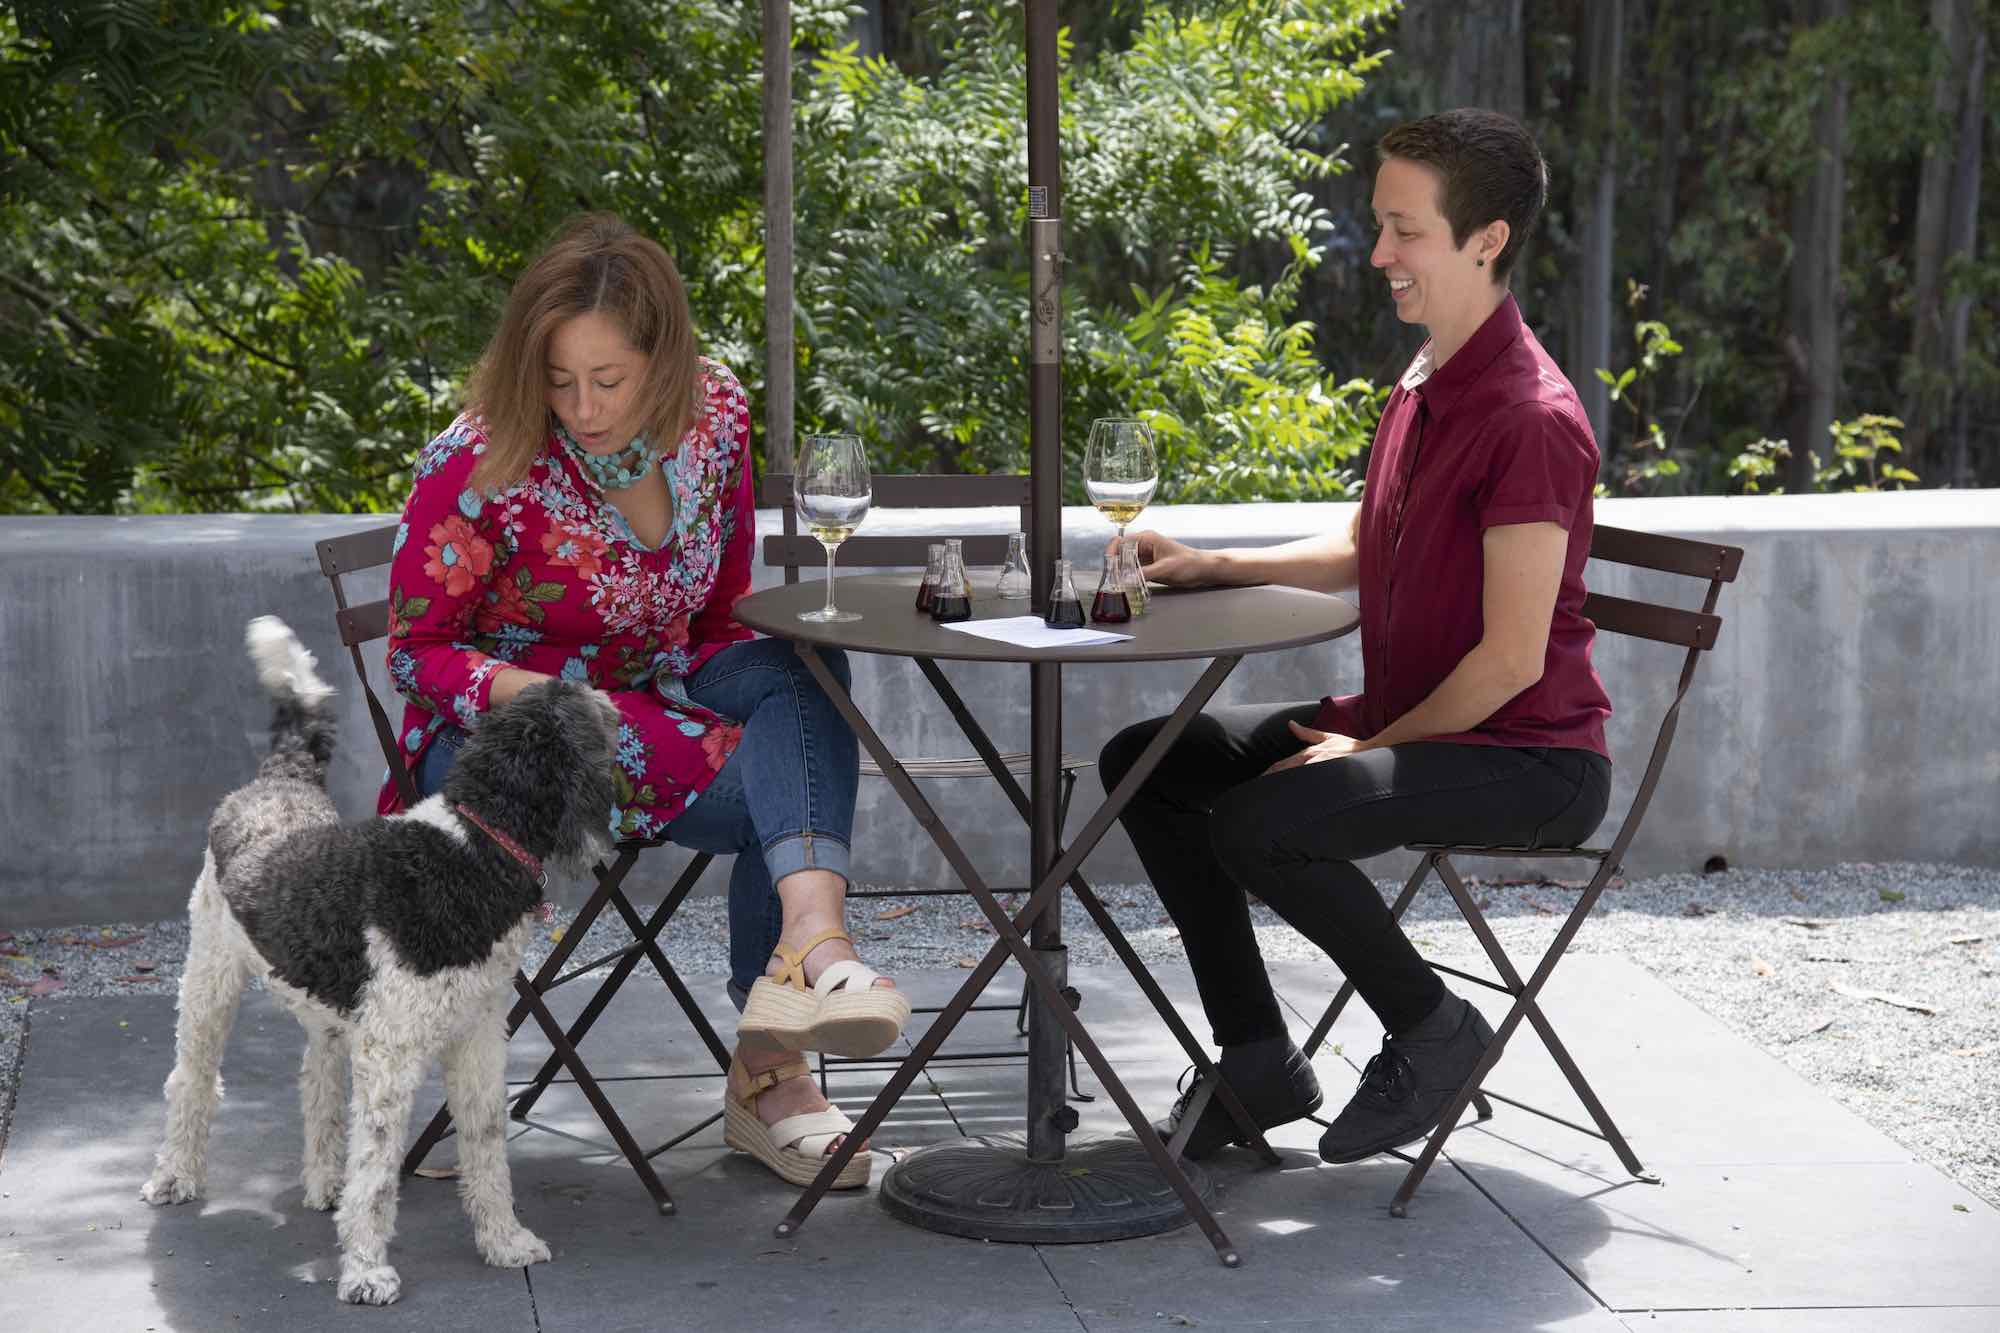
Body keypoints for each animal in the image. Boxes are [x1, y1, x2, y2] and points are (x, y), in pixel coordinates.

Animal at [143, 616, 616, 1304]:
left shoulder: (478, 1035)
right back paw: (176, 1175)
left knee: (316, 1079)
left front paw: (504, 1241)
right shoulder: (392, 1051)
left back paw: (323, 1181)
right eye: (580, 711)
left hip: (329, 1010)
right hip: (210, 978)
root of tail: (280, 777)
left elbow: (486, 1143)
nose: (604, 689)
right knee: (192, 1078)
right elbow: (378, 1168)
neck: (469, 848)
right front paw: (367, 1271)